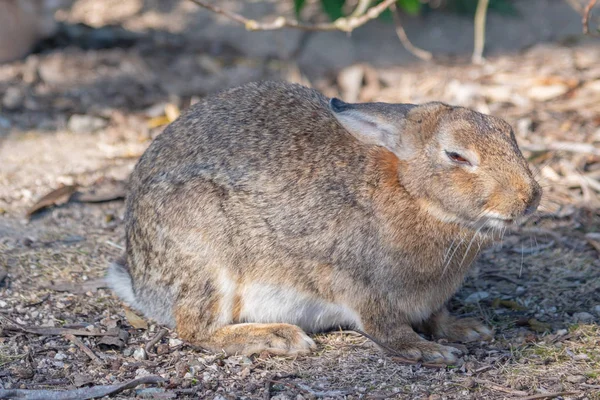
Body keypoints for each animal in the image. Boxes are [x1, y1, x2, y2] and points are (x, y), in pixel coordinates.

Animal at [105, 79, 540, 364]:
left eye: (509, 133)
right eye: (456, 156)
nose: (530, 197)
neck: (413, 194)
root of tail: (141, 283)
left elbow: (437, 315)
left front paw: (466, 330)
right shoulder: (357, 283)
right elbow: (386, 327)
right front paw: (429, 350)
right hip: (207, 255)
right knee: (194, 329)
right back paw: (280, 337)